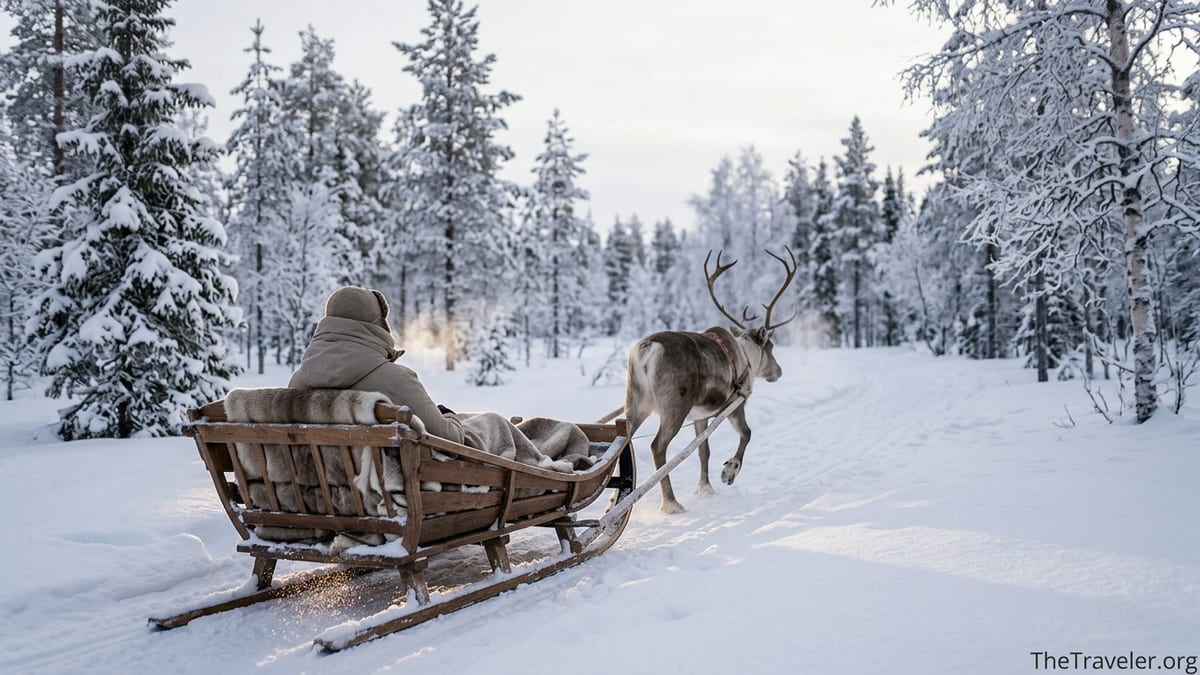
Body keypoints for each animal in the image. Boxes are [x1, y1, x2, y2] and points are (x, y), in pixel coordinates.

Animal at [624, 247, 798, 514]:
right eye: (771, 346)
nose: (778, 372)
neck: (747, 356)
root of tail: (647, 349)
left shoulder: (700, 415)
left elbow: (703, 450)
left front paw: (705, 489)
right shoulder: (737, 403)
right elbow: (746, 433)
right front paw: (729, 472)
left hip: (636, 403)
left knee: (620, 443)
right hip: (674, 407)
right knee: (657, 446)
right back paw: (671, 503)